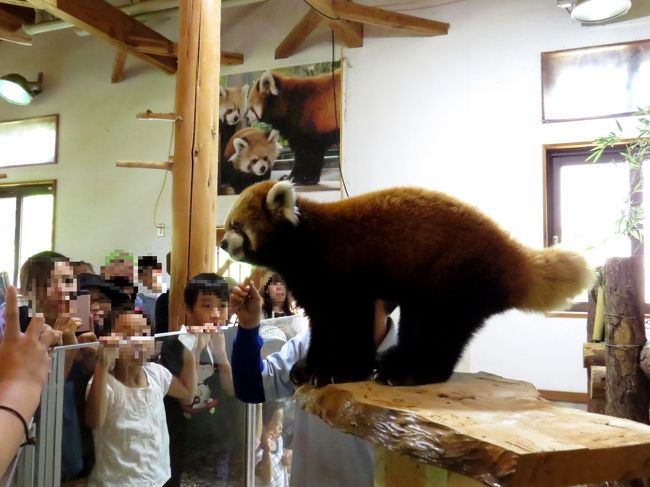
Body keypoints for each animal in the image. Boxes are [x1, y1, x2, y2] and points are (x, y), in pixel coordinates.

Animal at [223, 181, 592, 386]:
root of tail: (510, 252)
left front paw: (339, 370)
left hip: (450, 275)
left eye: (237, 226)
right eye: (228, 225)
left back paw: (407, 371)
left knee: (435, 328)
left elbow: (348, 323)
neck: (305, 243)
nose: (224, 243)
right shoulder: (313, 289)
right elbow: (323, 326)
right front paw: (310, 367)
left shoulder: (345, 276)